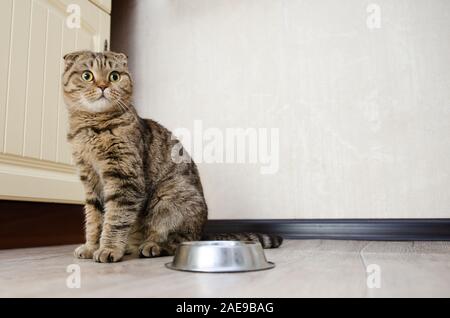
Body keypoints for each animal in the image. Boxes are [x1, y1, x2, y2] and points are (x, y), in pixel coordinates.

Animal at [62, 50, 284, 264]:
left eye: (114, 76)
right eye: (87, 76)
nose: (102, 86)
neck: (92, 128)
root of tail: (202, 232)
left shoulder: (125, 180)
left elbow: (115, 219)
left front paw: (108, 249)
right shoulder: (91, 181)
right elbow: (94, 220)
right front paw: (91, 247)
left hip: (167, 200)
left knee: (179, 240)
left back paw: (152, 246)